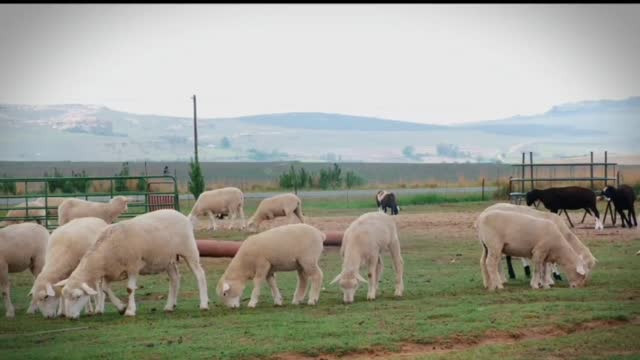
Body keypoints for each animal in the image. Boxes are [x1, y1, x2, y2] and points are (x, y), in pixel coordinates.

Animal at [54, 210, 209, 320]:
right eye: (64, 295)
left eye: (77, 296)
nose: (70, 317)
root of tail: (182, 215)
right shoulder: (110, 272)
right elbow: (105, 289)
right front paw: (121, 307)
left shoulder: (133, 266)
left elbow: (129, 289)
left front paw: (129, 310)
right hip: (167, 259)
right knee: (175, 279)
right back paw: (170, 306)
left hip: (189, 250)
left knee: (200, 275)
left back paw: (204, 304)